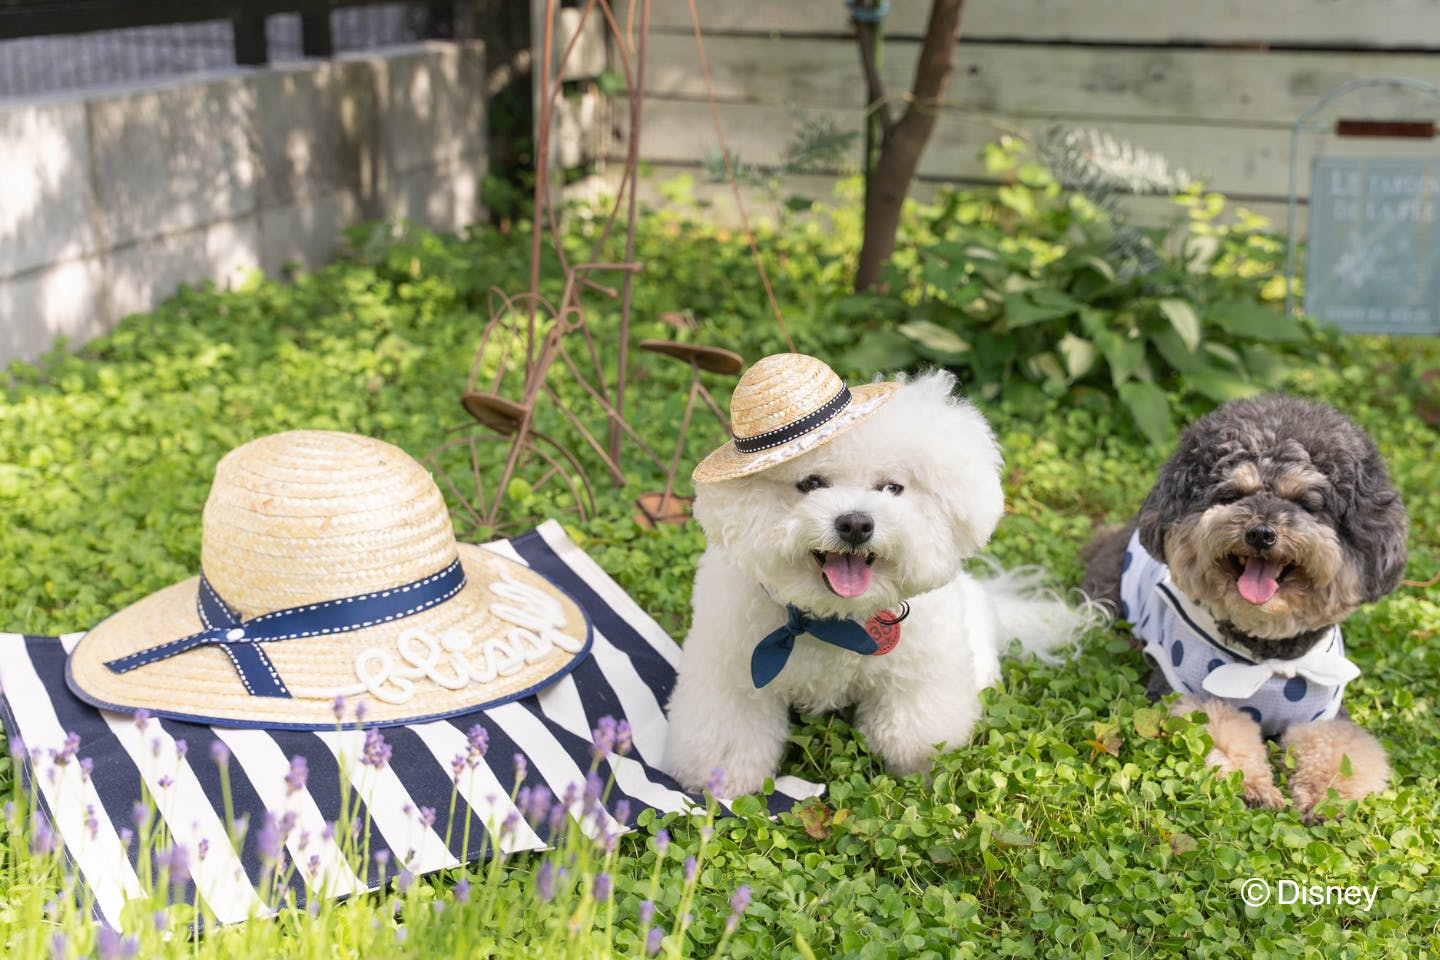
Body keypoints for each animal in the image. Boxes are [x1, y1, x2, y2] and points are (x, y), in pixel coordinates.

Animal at [662, 355, 1088, 794]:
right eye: (810, 483)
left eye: (892, 488)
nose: (855, 523)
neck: (834, 619)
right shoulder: (731, 677)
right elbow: (730, 733)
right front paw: (719, 784)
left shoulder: (917, 676)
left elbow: (915, 732)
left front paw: (920, 769)